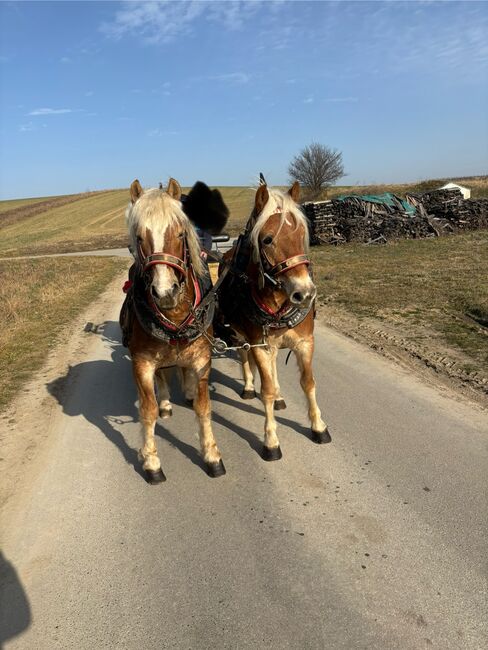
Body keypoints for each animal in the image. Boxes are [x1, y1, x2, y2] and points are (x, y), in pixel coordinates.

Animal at [120, 177, 225, 480]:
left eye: (180, 234)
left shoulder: (202, 359)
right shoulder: (142, 363)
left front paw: (211, 454)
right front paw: (151, 461)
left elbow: (204, 407)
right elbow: (148, 410)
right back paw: (167, 402)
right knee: (163, 377)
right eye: (139, 238)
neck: (175, 317)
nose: (165, 292)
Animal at [218, 180, 330, 458]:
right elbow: (265, 390)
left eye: (302, 233)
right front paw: (270, 440)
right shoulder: (260, 344)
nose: (305, 293)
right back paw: (249, 386)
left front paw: (318, 426)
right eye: (268, 239)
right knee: (244, 356)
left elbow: (308, 383)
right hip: (240, 334)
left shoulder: (305, 342)